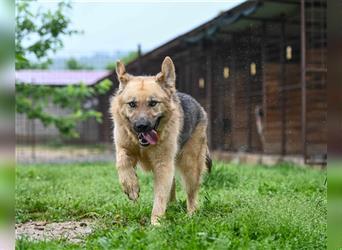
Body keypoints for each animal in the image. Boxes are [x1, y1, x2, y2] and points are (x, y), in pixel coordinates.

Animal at [109, 56, 211, 225]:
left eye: (153, 103)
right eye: (132, 104)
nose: (141, 126)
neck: (143, 147)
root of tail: (199, 107)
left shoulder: (163, 164)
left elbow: (160, 196)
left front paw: (156, 222)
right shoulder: (123, 148)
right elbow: (122, 162)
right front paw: (131, 186)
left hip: (190, 165)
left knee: (192, 194)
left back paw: (191, 215)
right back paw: (173, 205)